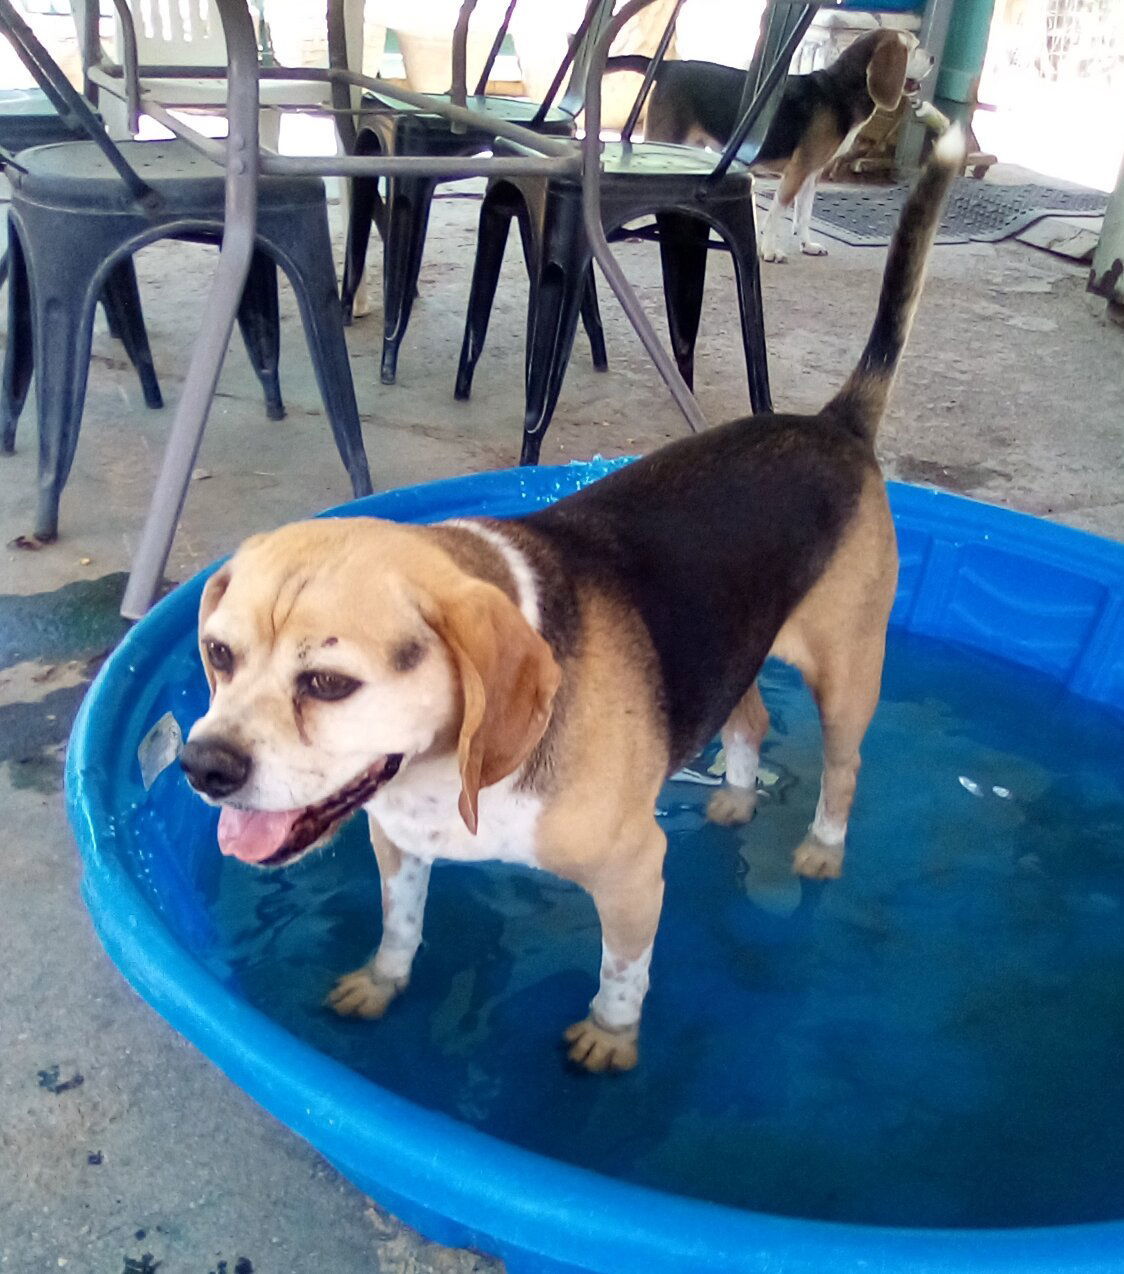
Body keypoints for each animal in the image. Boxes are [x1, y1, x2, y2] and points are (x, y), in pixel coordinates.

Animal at [179, 129, 958, 1070]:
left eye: (329, 684)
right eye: (219, 655)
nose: (201, 768)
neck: (454, 768)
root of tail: (832, 423)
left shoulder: (633, 869)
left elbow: (623, 971)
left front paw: (609, 1040)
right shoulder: (397, 840)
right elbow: (401, 929)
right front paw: (381, 982)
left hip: (847, 676)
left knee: (843, 769)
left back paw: (819, 851)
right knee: (751, 719)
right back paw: (736, 797)